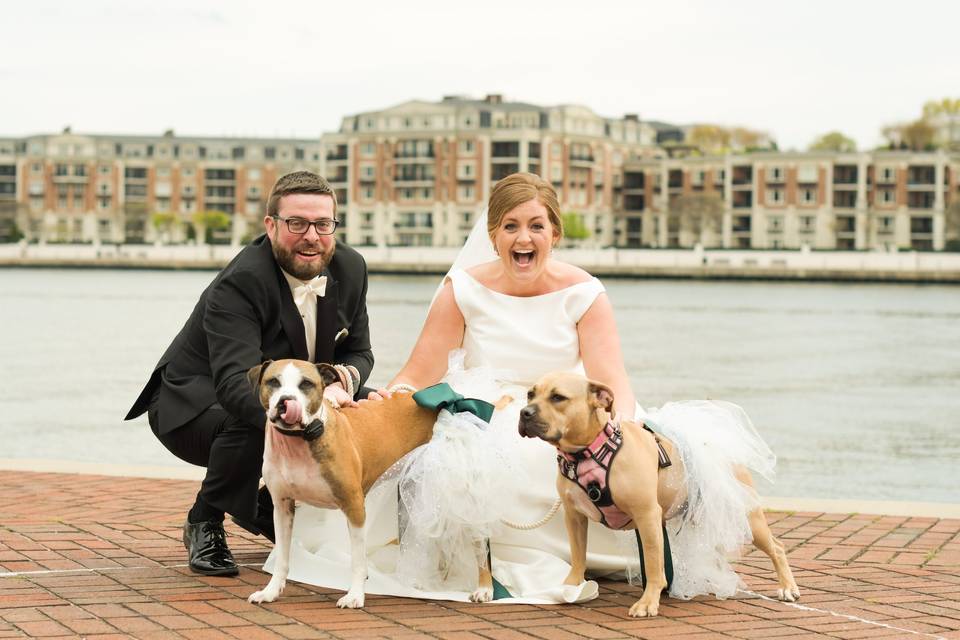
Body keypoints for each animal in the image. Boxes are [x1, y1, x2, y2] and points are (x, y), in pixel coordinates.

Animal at [244, 362, 496, 608]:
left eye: (306, 383)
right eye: (273, 382)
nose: (286, 401)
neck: (300, 441)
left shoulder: (354, 507)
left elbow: (357, 561)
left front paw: (355, 595)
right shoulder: (282, 507)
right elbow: (282, 558)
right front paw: (270, 591)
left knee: (481, 543)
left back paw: (484, 588)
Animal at [512, 372, 800, 616]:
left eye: (558, 397)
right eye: (530, 394)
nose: (524, 413)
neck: (587, 453)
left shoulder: (647, 516)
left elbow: (652, 563)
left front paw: (648, 601)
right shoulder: (575, 517)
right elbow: (578, 555)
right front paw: (571, 586)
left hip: (748, 517)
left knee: (777, 547)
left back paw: (787, 587)